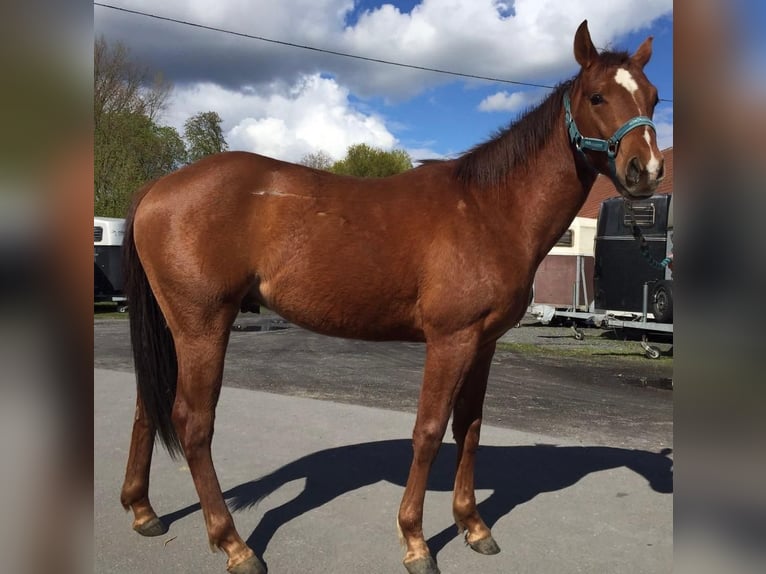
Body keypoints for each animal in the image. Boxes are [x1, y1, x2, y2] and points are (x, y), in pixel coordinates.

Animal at [119, 20, 664, 574]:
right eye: (597, 96)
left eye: (654, 98)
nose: (646, 171)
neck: (489, 209)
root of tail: (158, 188)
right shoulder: (450, 341)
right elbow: (428, 431)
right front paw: (416, 541)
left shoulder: (483, 344)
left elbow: (470, 428)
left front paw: (473, 526)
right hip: (203, 325)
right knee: (193, 422)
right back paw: (234, 544)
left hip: (175, 326)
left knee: (148, 406)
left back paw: (143, 512)